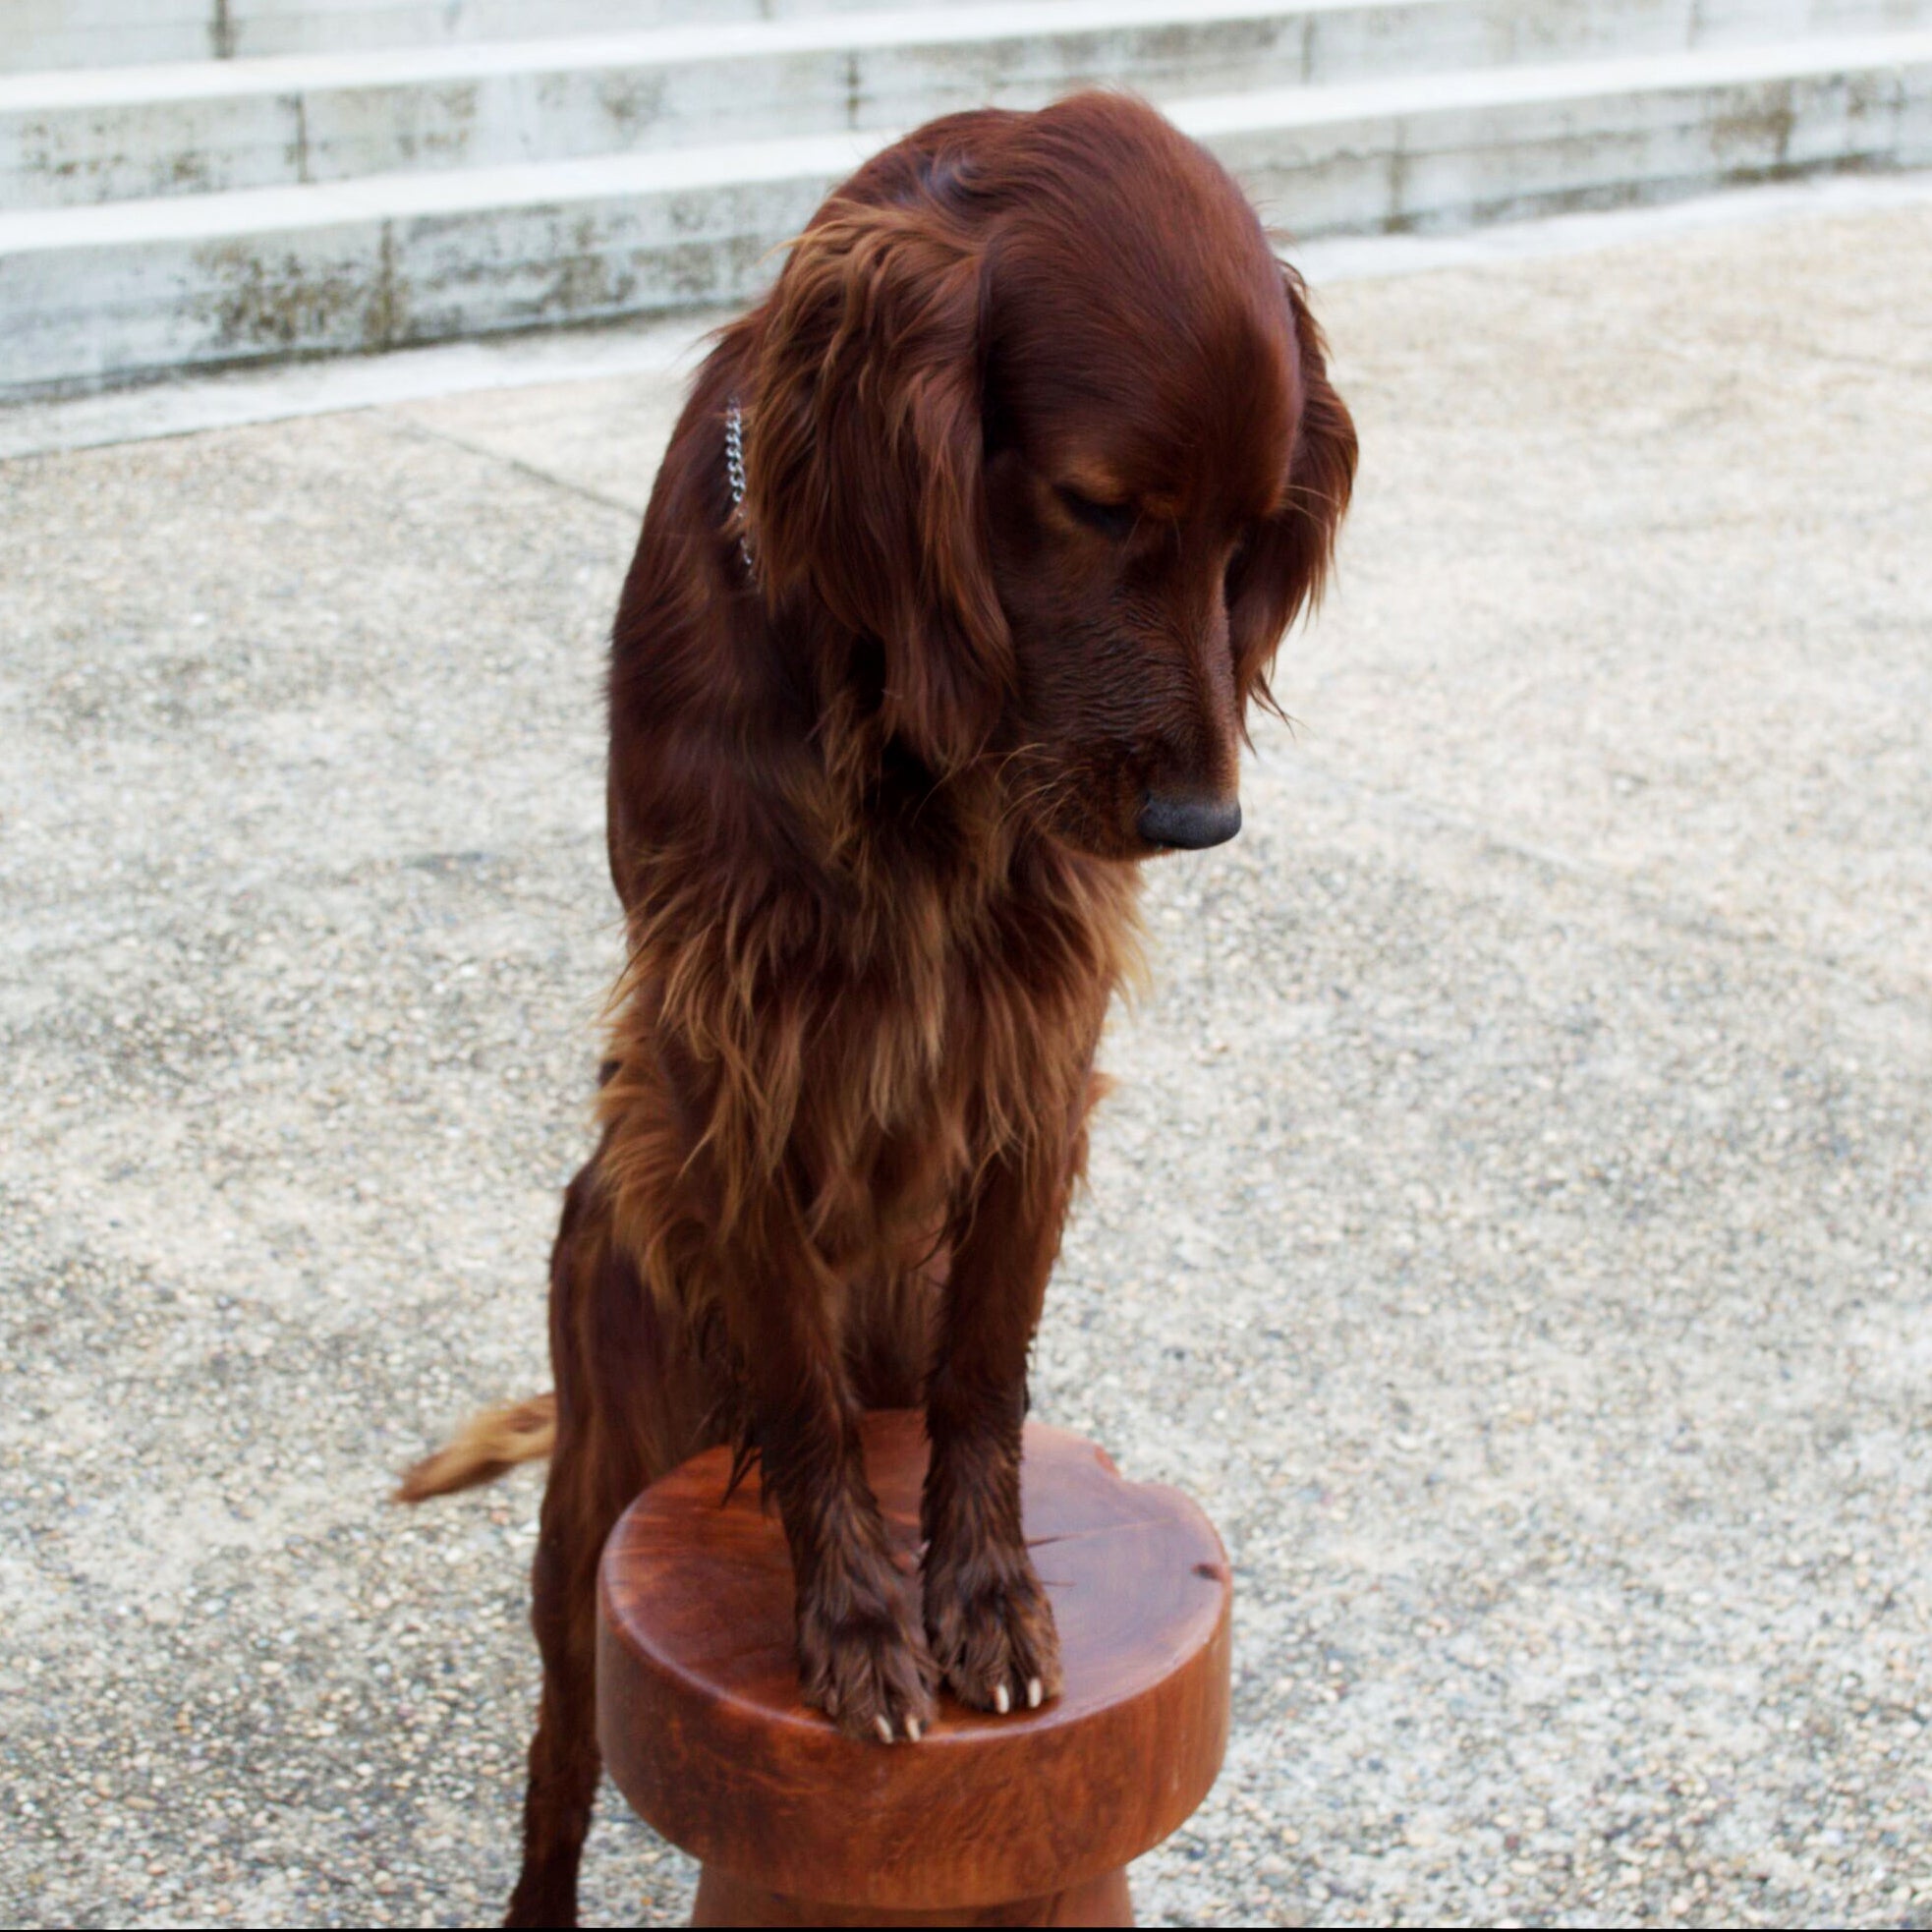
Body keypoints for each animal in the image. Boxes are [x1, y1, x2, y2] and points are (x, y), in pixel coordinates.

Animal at [399, 86, 1352, 1916]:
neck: (911, 719)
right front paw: (854, 1623)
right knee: (563, 1749)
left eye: (1248, 529)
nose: (1200, 820)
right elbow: (797, 1383)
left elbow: (989, 1370)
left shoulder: (1039, 1031)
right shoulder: (740, 1037)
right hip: (597, 1475)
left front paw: (983, 1598)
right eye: (1096, 504)